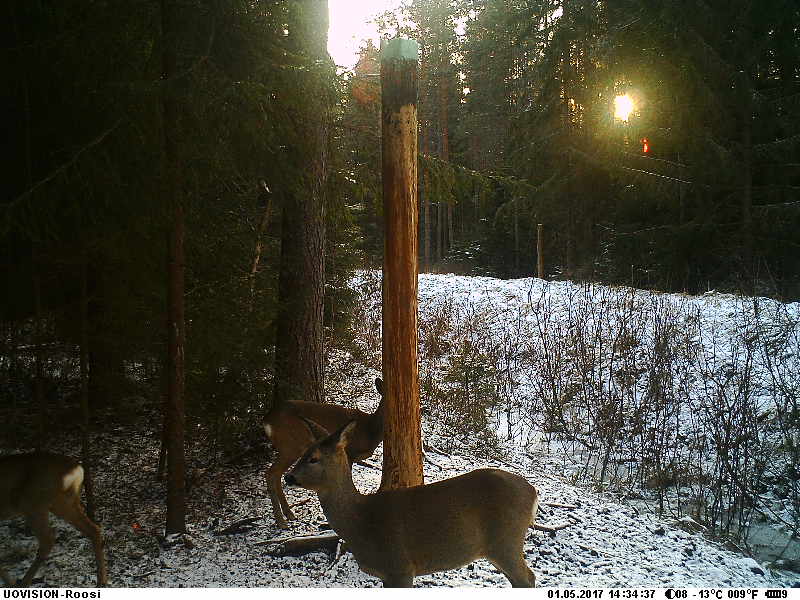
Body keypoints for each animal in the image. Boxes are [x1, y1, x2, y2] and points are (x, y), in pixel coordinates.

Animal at [0, 452, 107, 587]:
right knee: (93, 529)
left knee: (47, 540)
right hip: (65, 501)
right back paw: (101, 581)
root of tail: (77, 469)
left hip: (34, 504)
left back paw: (22, 583)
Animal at [263, 378, 385, 529]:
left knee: (277, 474)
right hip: (290, 446)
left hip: (288, 448)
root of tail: (267, 420)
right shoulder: (348, 452)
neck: (370, 429)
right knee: (271, 473)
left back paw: (289, 514)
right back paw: (281, 521)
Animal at [285, 419, 540, 588]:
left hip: (506, 541)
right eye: (303, 453)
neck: (363, 524)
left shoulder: (399, 566)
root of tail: (533, 491)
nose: (288, 477)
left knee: (527, 578)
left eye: (313, 458)